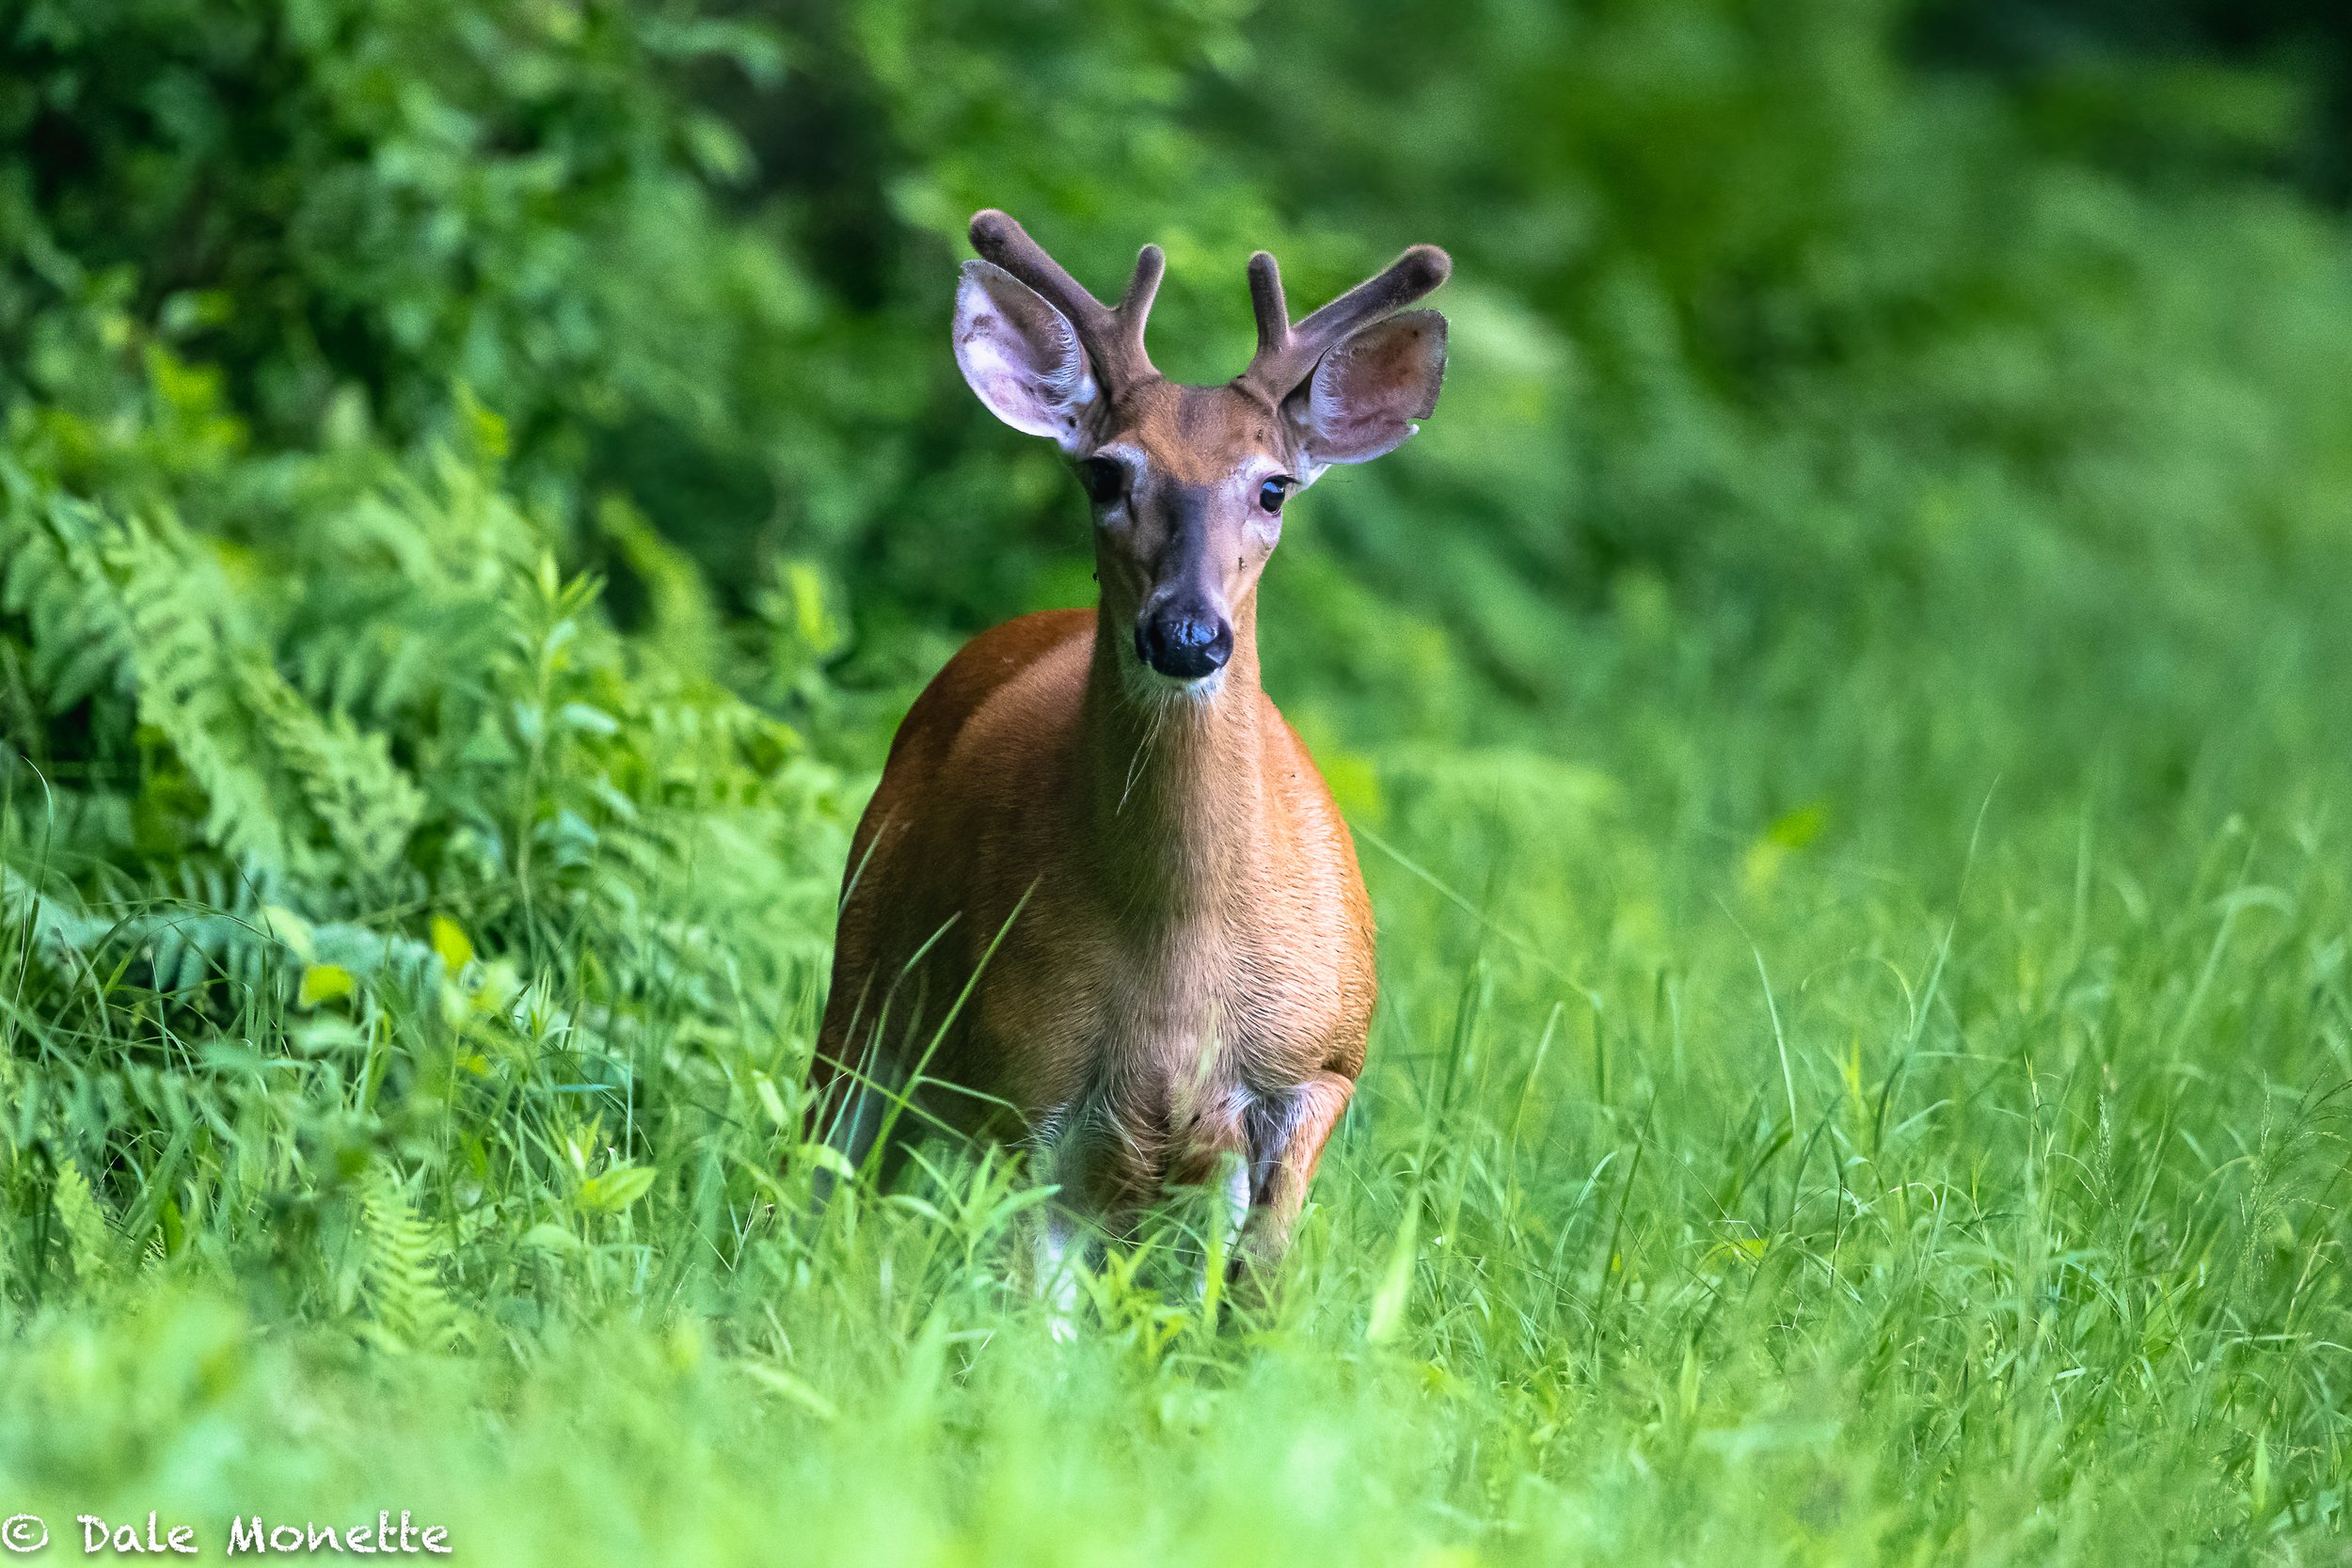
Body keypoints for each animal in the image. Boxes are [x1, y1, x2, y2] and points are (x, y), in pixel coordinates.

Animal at [809, 211, 1449, 1297]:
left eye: (1273, 486)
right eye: (1108, 471)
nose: (1187, 634)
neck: (1180, 965)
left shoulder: (1320, 1063)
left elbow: (1248, 1284)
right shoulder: (1026, 1089)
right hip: (863, 988)